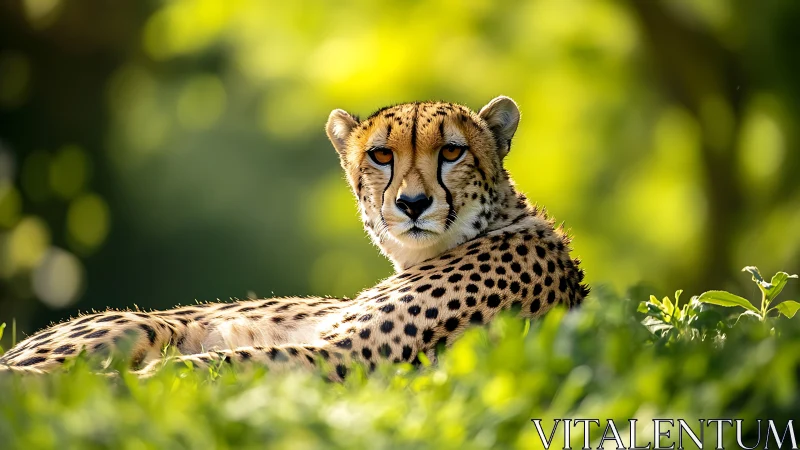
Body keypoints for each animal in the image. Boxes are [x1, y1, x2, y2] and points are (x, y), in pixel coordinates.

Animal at [0, 96, 589, 380]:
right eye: (382, 155)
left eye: (451, 152)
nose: (413, 204)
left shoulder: (351, 357)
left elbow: (216, 363)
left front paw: (141, 383)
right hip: (140, 323)